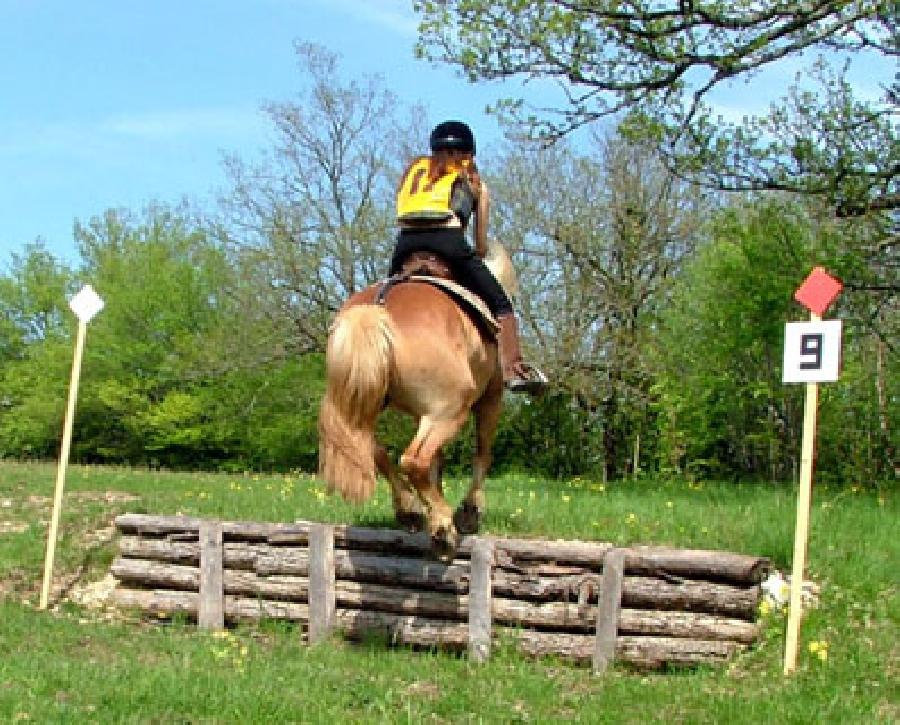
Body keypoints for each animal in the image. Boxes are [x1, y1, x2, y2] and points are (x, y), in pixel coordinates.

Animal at [318, 240, 516, 556]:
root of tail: (374, 311)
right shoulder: (490, 400)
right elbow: (483, 454)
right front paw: (470, 512)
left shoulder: (421, 414)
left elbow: (439, 461)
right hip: (450, 411)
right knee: (414, 460)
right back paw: (442, 528)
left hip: (359, 406)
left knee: (373, 449)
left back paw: (411, 510)